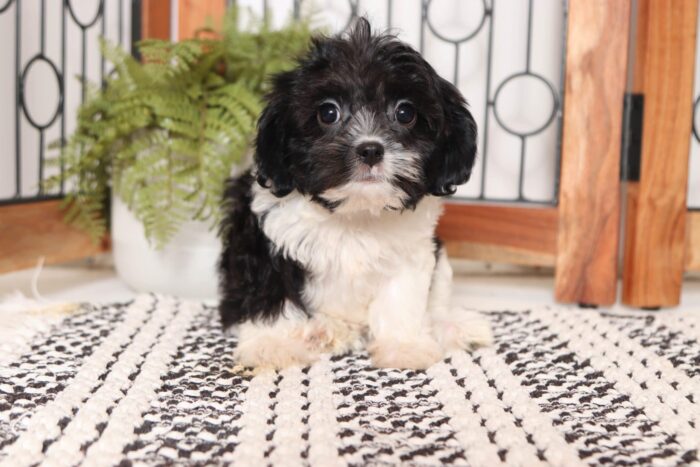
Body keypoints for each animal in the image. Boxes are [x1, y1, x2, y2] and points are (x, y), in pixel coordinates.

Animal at [217, 18, 492, 372]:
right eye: (328, 113)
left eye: (405, 113)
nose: (371, 149)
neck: (355, 212)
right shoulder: (263, 237)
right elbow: (271, 290)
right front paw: (272, 344)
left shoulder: (412, 250)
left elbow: (401, 298)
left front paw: (404, 346)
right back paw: (325, 331)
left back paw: (453, 325)